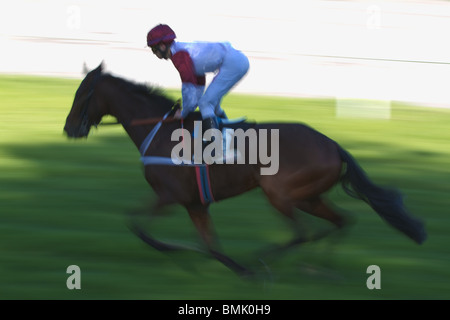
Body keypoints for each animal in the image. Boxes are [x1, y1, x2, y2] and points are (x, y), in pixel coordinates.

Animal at [63, 63, 426, 278]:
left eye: (81, 95)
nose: (69, 128)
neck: (161, 131)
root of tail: (333, 144)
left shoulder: (169, 196)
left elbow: (140, 228)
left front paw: (183, 252)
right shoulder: (193, 203)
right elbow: (210, 245)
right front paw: (211, 260)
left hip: (278, 192)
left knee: (302, 232)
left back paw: (264, 261)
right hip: (308, 196)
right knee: (341, 221)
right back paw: (316, 267)